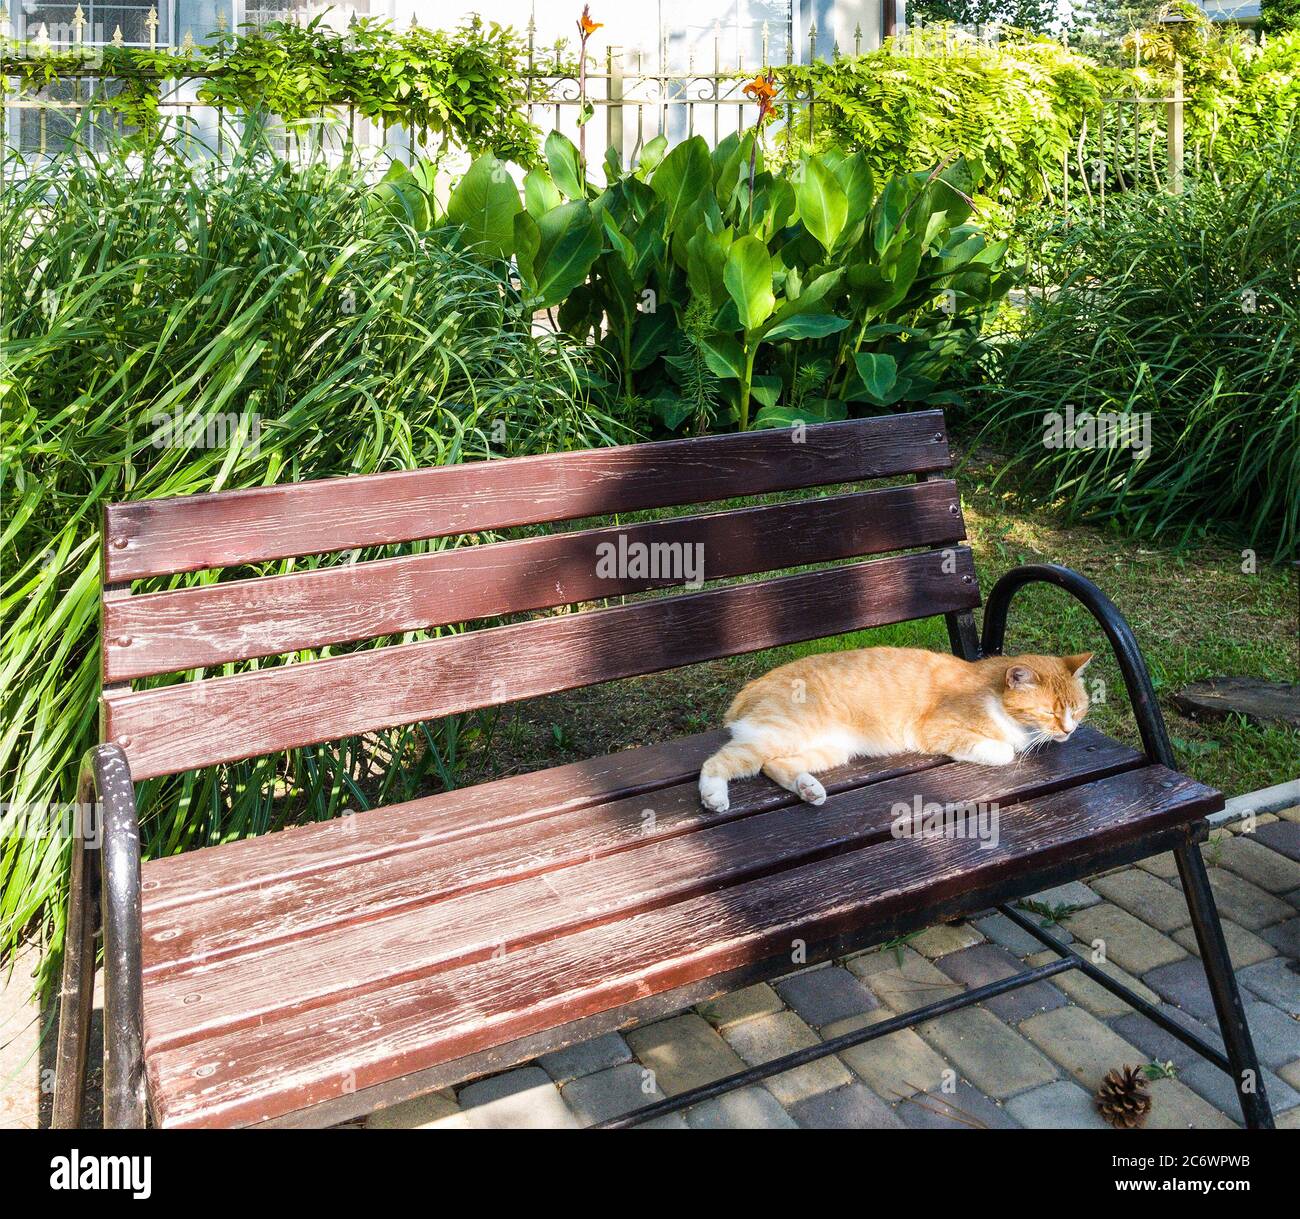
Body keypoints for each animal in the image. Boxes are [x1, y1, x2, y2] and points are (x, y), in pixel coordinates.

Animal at [696, 647, 1092, 805]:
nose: (1069, 731)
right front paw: (1008, 747)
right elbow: (1005, 751)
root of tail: (750, 689)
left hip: (830, 749)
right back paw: (714, 796)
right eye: (1048, 712)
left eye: (1077, 710)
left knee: (774, 765)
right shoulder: (937, 730)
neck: (990, 692)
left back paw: (809, 789)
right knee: (720, 761)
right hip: (783, 732)